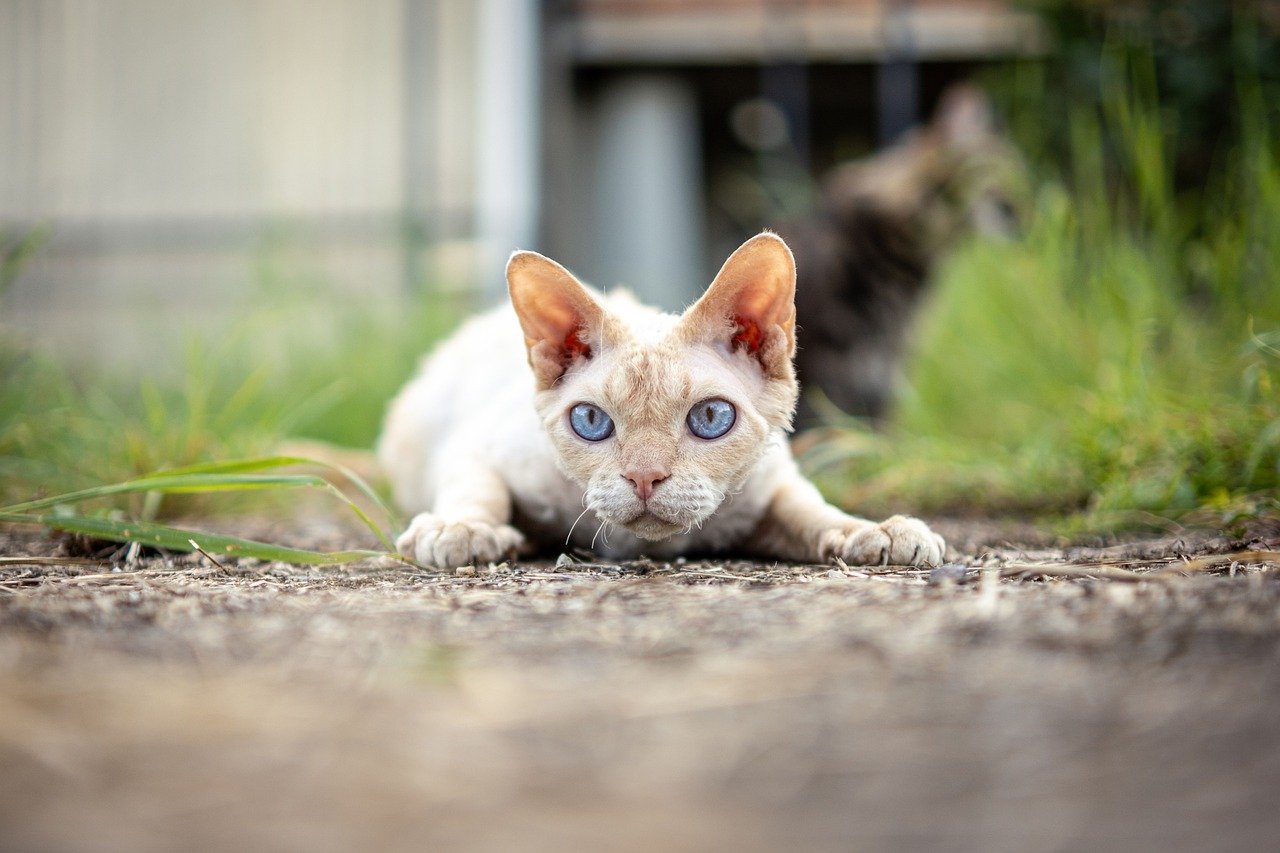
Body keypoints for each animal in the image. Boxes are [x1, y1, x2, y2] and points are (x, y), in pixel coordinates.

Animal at [373, 229, 947, 568]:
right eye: (590, 421)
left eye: (711, 417)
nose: (644, 477)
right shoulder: (475, 446)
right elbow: (477, 488)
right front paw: (462, 529)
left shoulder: (772, 481)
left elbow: (812, 511)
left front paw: (874, 531)